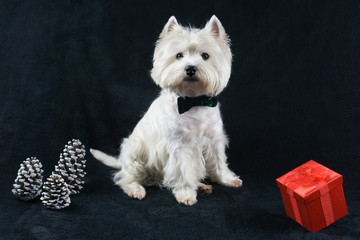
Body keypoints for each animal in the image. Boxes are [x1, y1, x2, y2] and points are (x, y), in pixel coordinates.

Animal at [90, 15, 242, 206]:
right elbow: (183, 171)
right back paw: (136, 189)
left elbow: (219, 161)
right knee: (127, 177)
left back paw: (201, 186)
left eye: (205, 56)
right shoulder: (180, 145)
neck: (193, 101)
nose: (190, 68)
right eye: (179, 56)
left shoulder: (214, 139)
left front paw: (227, 179)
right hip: (134, 151)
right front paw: (186, 194)